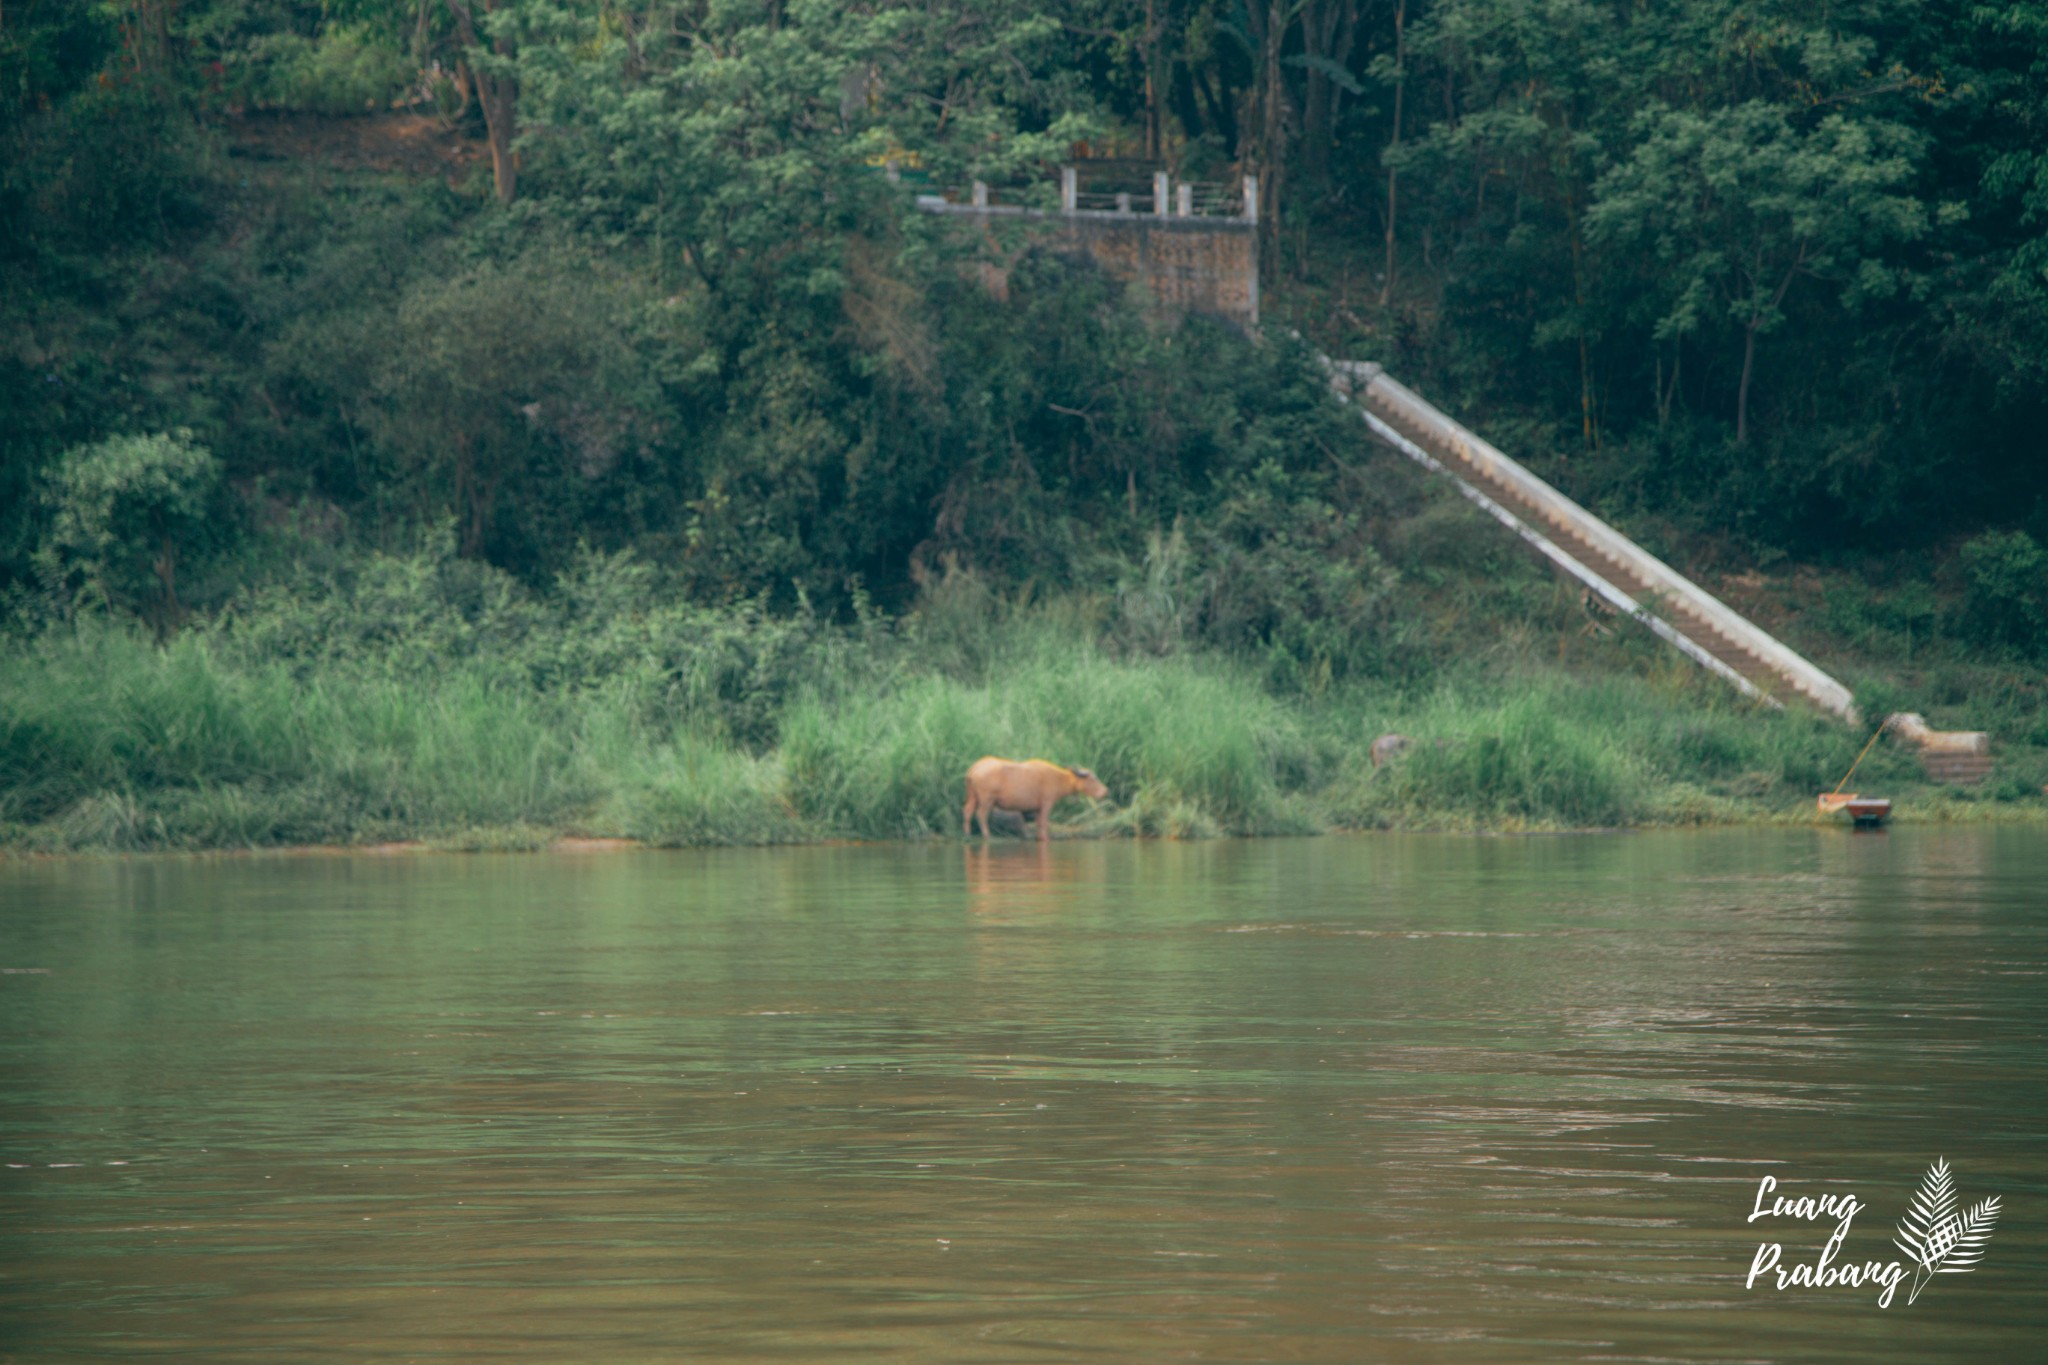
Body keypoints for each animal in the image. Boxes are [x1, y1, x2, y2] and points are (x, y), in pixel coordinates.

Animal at [966, 757, 1114, 843]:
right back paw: (986, 835)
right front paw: (1046, 839)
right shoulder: (1047, 803)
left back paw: (967, 833)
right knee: (981, 815)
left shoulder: (1036, 808)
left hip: (973, 797)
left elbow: (1038, 824)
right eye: (1092, 779)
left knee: (967, 812)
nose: (1106, 791)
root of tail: (974, 769)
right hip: (987, 799)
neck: (1058, 779)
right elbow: (1044, 823)